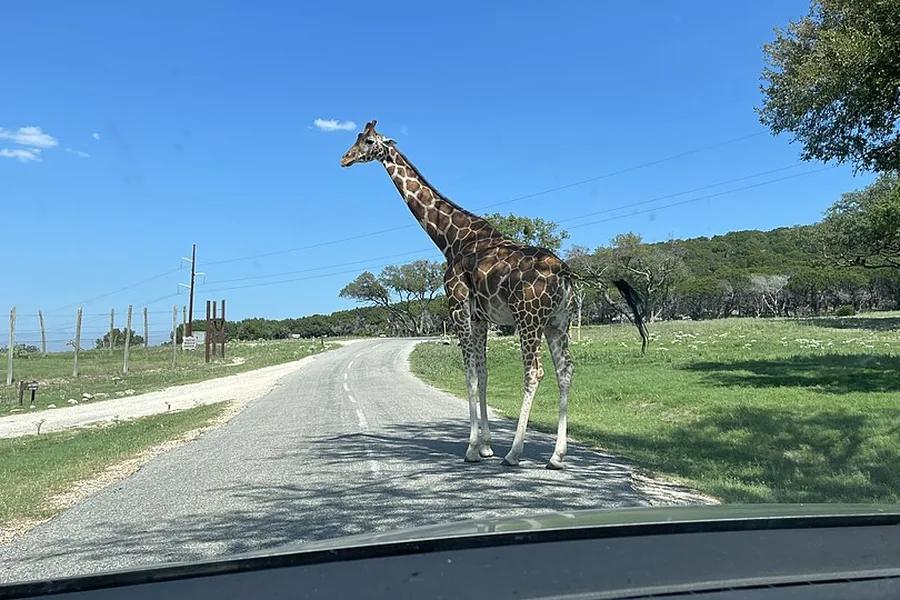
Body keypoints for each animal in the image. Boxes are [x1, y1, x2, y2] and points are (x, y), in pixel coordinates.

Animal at [340, 120, 646, 469]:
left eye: (366, 141)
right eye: (356, 138)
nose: (344, 158)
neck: (451, 239)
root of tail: (566, 272)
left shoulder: (458, 308)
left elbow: (470, 375)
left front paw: (473, 448)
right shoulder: (481, 318)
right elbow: (483, 374)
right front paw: (486, 445)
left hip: (529, 320)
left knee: (534, 372)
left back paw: (514, 453)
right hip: (558, 322)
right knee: (565, 370)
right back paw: (556, 455)